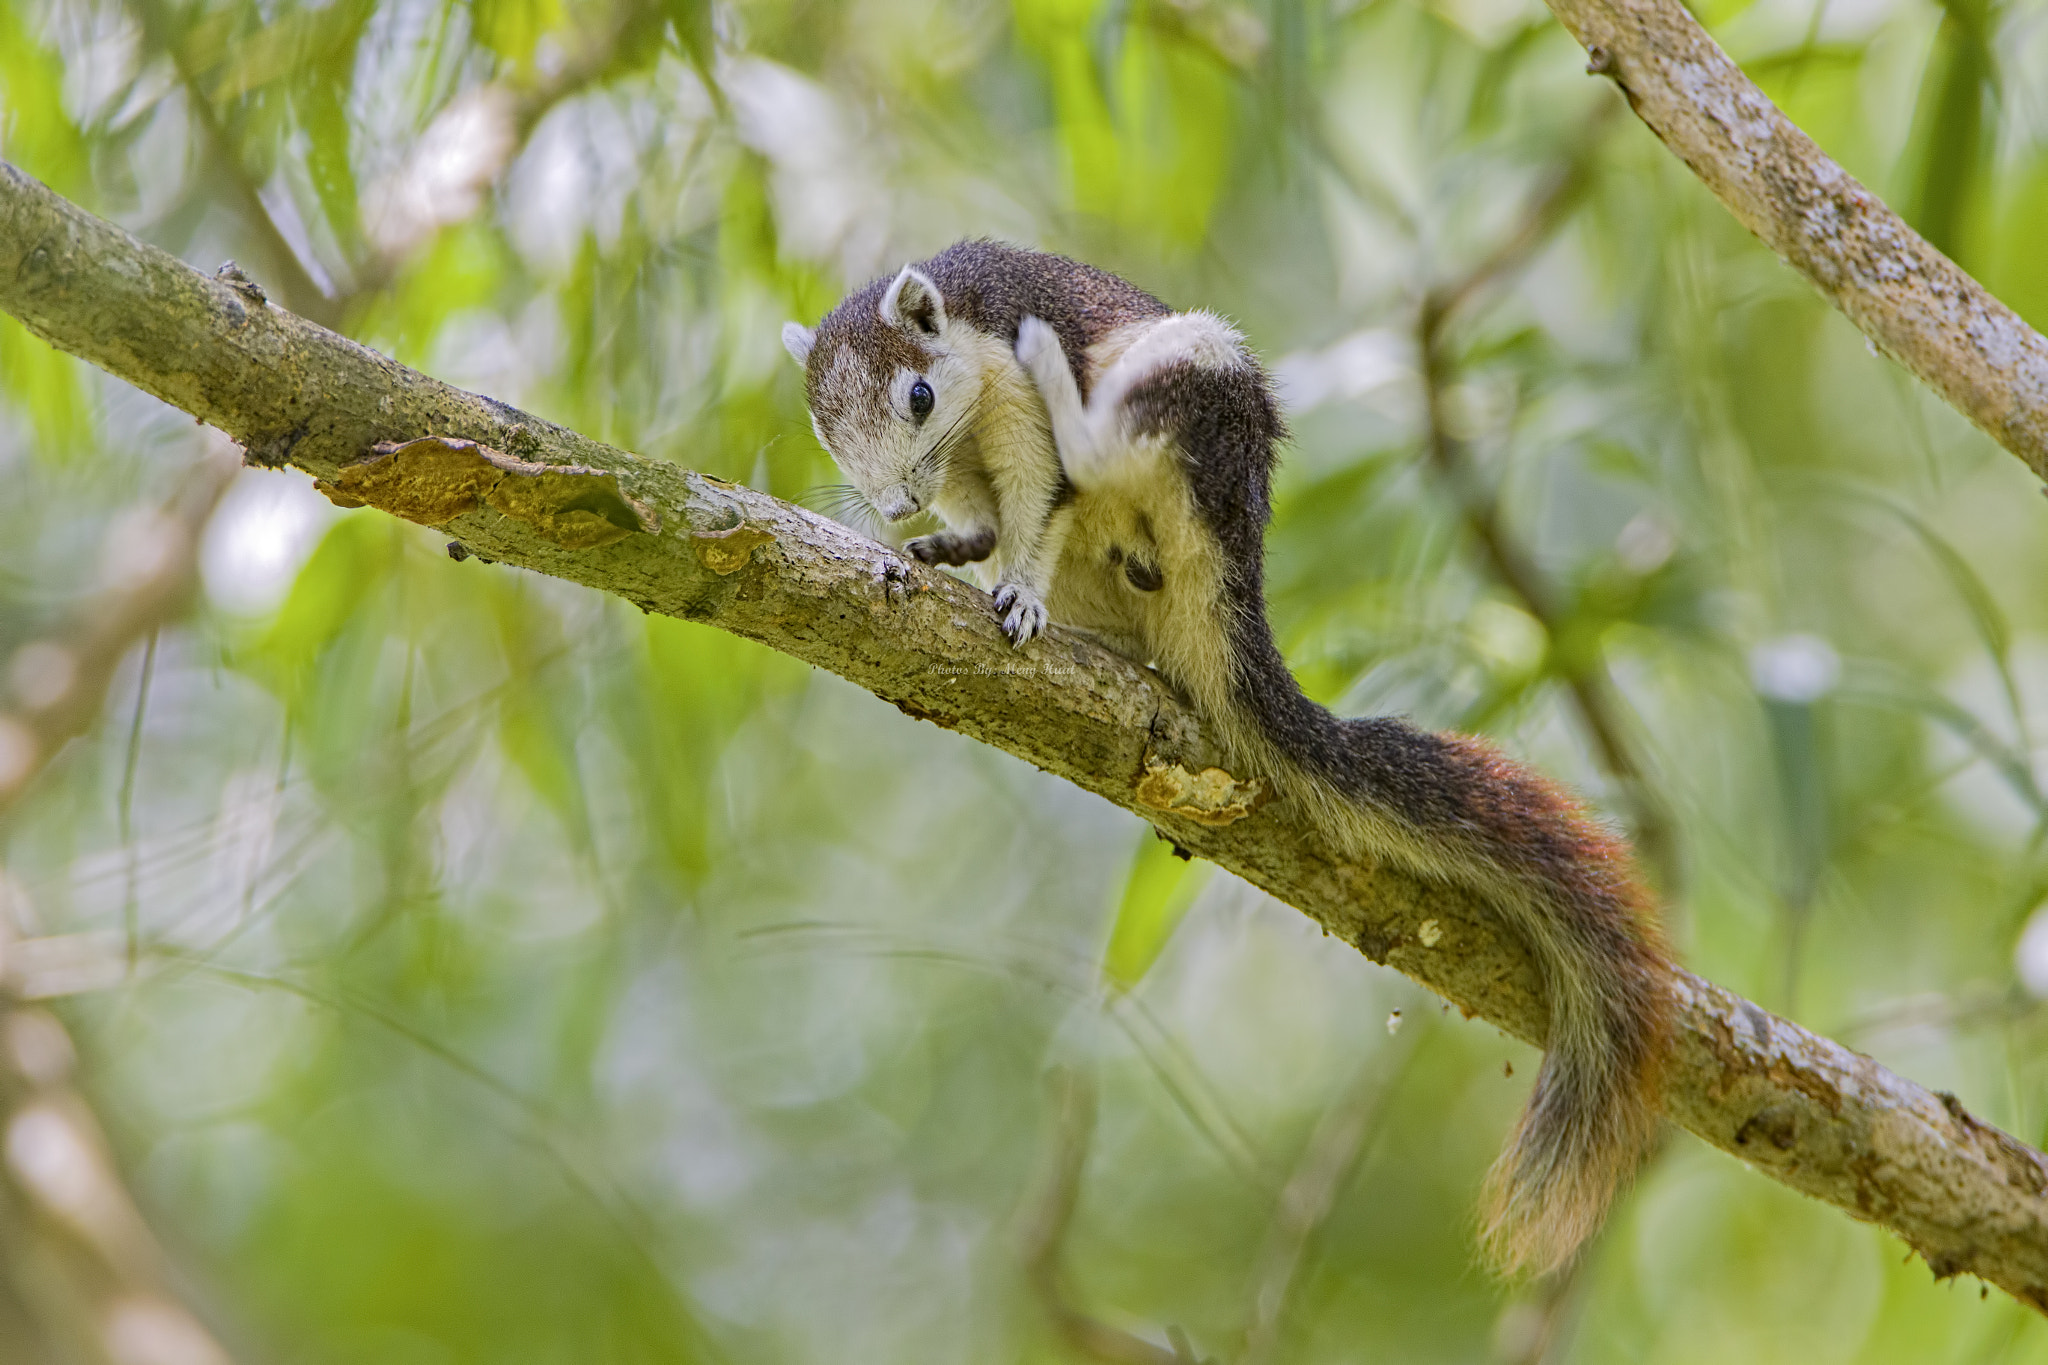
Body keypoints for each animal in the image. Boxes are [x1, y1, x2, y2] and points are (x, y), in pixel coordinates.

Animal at [774, 240, 1671, 1277]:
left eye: (919, 396)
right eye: (824, 427)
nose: (895, 504)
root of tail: (1224, 583)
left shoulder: (1006, 407)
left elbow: (1039, 502)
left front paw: (1018, 589)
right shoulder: (964, 471)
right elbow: (992, 522)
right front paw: (943, 541)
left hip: (1198, 388)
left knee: (1097, 453)